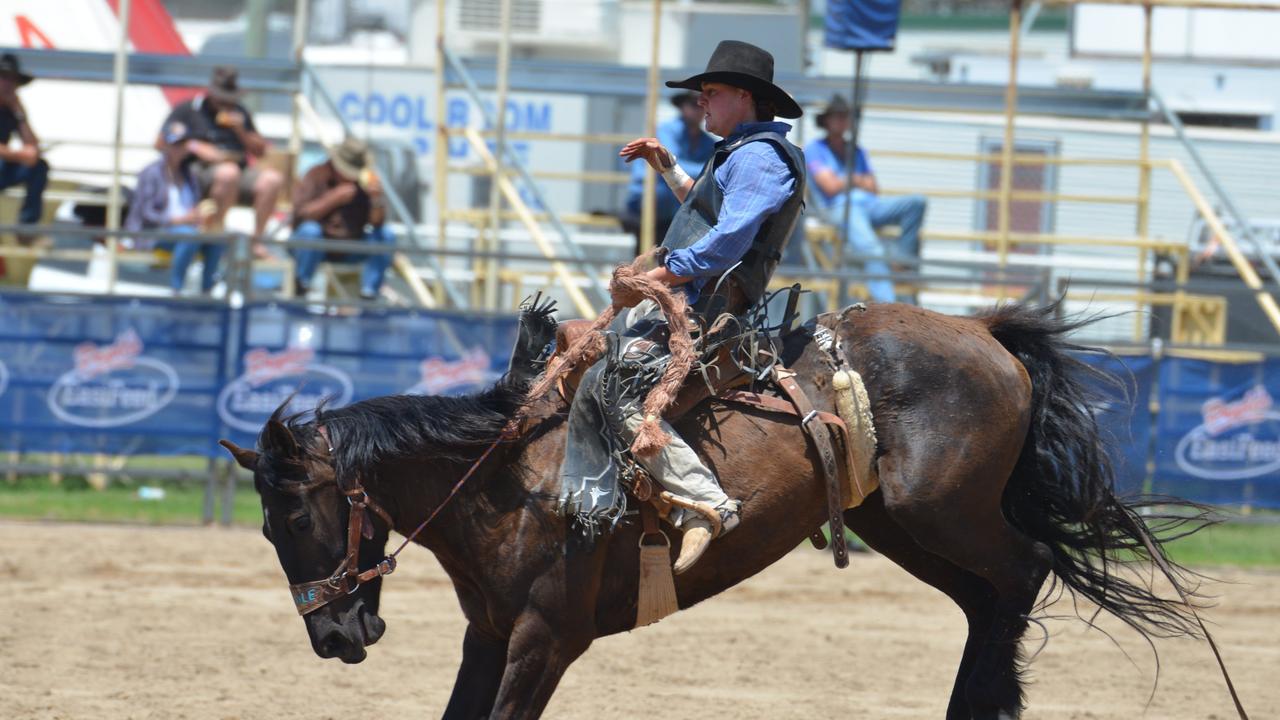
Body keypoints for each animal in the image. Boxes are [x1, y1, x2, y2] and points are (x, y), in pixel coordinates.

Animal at [217, 297, 1239, 717]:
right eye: (265, 529)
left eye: (297, 518)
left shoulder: (546, 639)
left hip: (944, 513)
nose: (333, 637)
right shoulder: (490, 635)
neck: (513, 482)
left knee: (1022, 572)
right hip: (900, 526)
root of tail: (982, 330)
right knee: (991, 600)